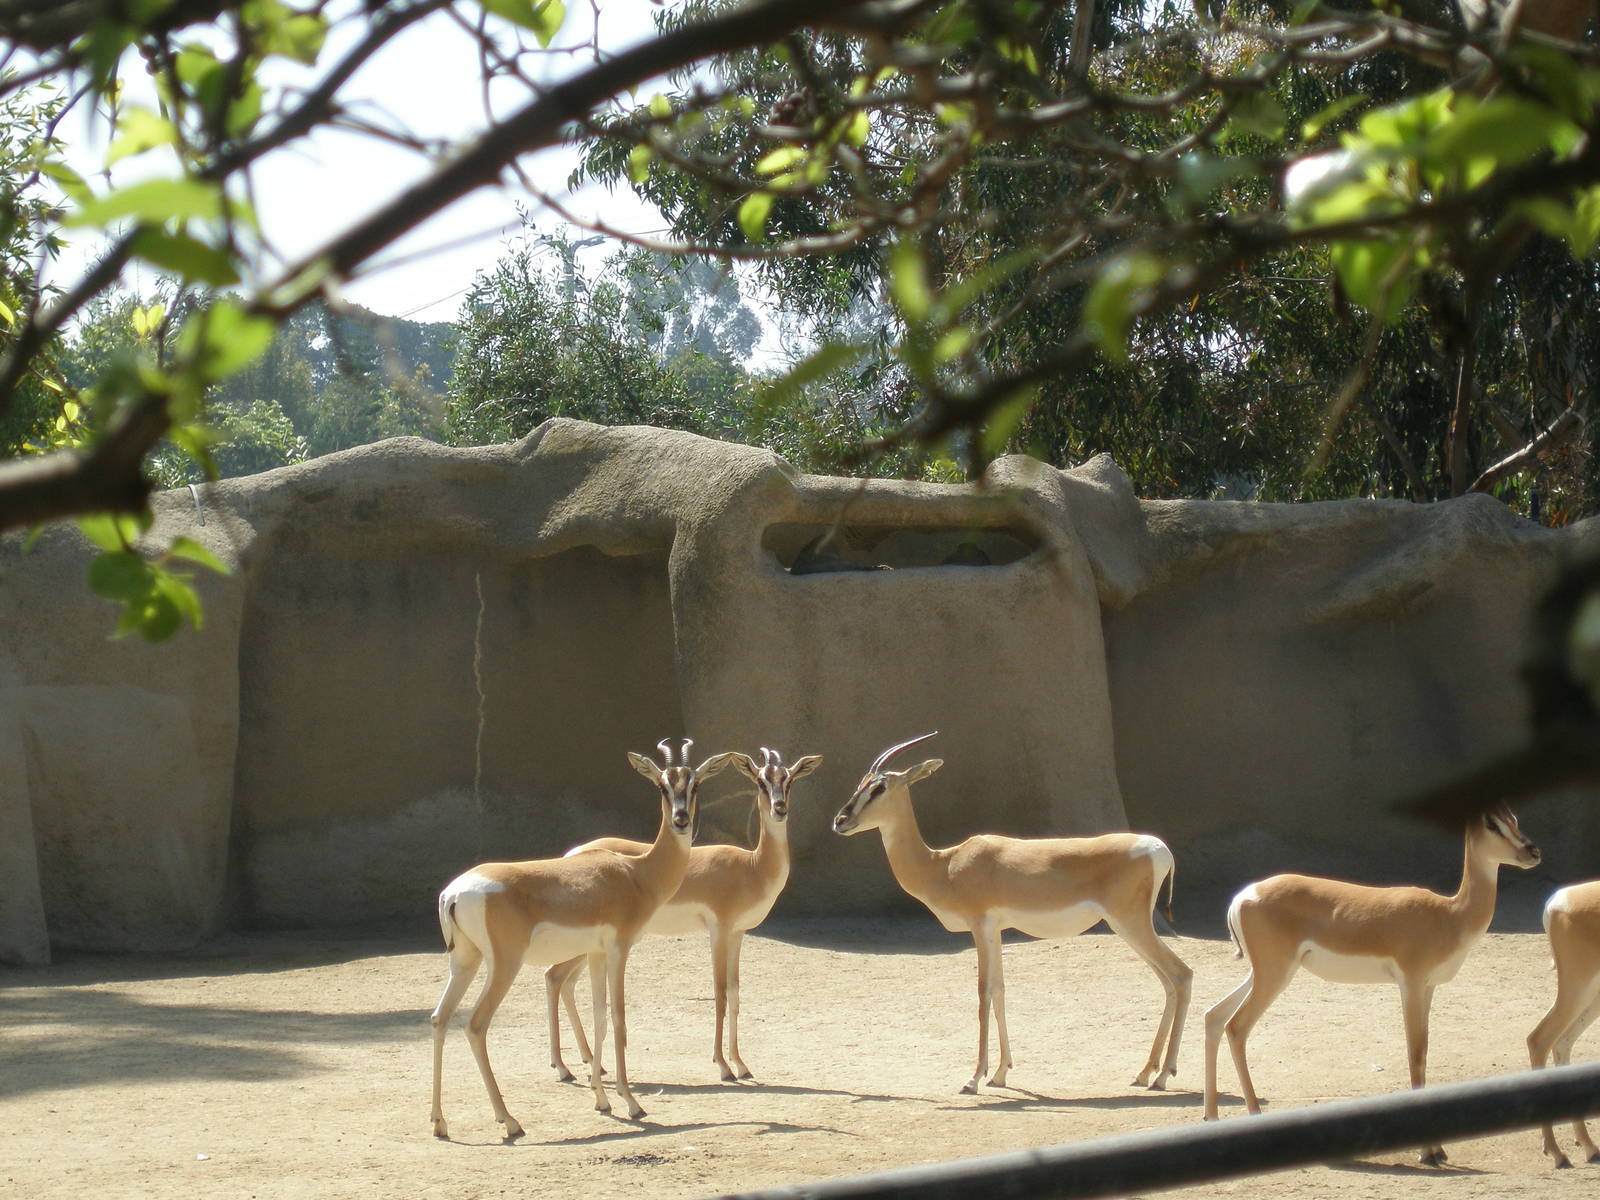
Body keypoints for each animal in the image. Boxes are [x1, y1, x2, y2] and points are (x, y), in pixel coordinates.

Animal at [428, 739, 734, 1140]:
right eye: (662, 786)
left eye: (694, 784)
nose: (681, 819)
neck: (636, 873)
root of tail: (454, 893)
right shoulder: (620, 948)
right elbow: (618, 1017)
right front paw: (632, 1103)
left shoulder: (596, 953)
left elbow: (599, 1016)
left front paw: (603, 1099)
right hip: (503, 965)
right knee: (475, 1024)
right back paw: (510, 1121)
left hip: (465, 960)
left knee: (439, 1017)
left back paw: (439, 1122)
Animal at [544, 747, 823, 1082]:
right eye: (760, 781)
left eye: (789, 779)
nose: (780, 809)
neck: (752, 867)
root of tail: (572, 854)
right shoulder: (719, 929)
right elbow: (720, 994)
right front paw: (723, 1066)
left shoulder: (738, 933)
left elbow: (735, 993)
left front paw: (741, 1064)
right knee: (553, 977)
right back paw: (563, 1067)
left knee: (564, 982)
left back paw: (589, 1063)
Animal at [831, 732, 1193, 1095]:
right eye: (860, 784)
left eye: (879, 788)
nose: (840, 821)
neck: (944, 866)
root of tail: (1159, 848)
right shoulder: (996, 930)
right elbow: (1000, 990)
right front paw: (1000, 1072)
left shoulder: (979, 925)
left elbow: (983, 992)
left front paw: (973, 1078)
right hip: (1128, 927)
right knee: (1167, 982)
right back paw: (1145, 1072)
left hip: (1130, 924)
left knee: (1181, 974)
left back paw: (1162, 1075)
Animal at [1202, 804, 1541, 1166]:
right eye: (1492, 823)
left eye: (1514, 819)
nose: (1532, 851)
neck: (1449, 915)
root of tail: (1243, 896)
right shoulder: (1411, 983)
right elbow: (1414, 1054)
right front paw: (1427, 1151)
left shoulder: (1429, 987)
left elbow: (1424, 1053)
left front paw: (1438, 1148)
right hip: (1273, 975)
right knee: (1237, 1027)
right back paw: (1253, 1116)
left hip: (1264, 973)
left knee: (1214, 1016)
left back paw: (1212, 1117)